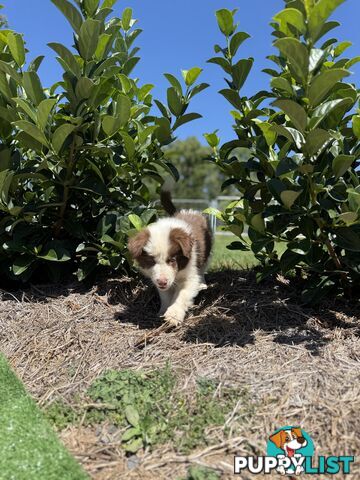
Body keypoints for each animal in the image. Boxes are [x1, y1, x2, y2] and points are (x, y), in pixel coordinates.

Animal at [128, 192, 212, 326]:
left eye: (172, 260)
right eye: (151, 261)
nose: (162, 282)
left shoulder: (190, 276)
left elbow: (182, 294)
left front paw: (174, 315)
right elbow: (165, 295)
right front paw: (162, 311)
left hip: (207, 251)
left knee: (203, 268)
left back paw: (203, 283)